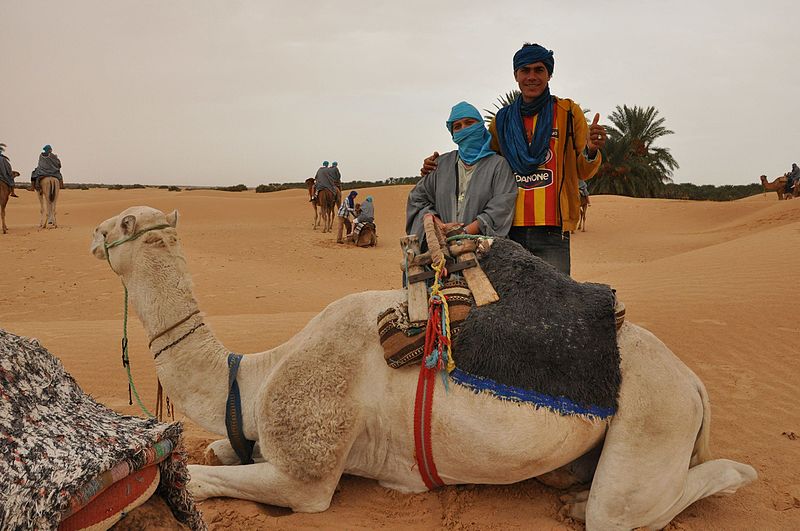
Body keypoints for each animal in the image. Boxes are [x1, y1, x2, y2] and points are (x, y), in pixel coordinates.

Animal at [90, 207, 752, 531]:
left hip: (655, 415)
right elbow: (220, 451)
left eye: (119, 224)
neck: (254, 378)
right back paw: (569, 493)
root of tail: (693, 383)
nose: (92, 237)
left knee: (632, 509)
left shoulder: (307, 476)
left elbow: (210, 480)